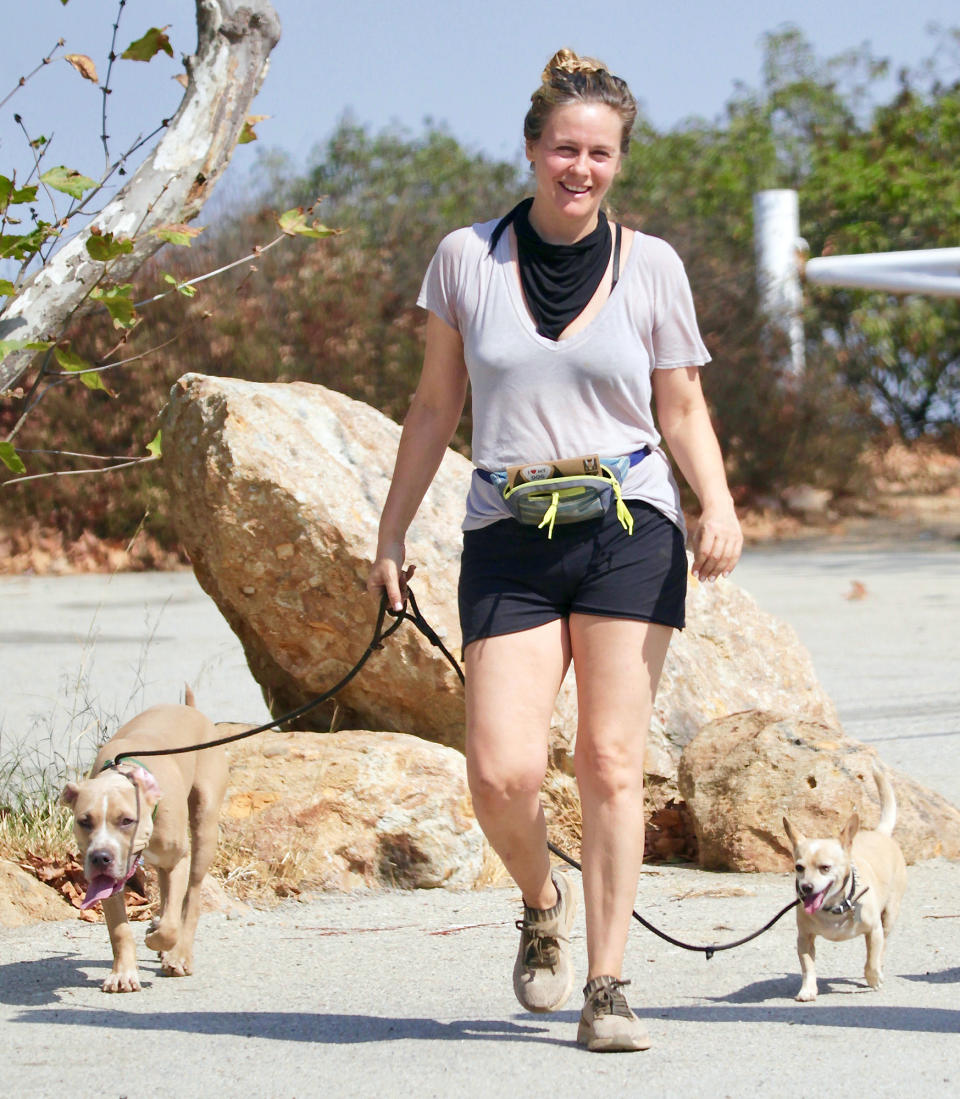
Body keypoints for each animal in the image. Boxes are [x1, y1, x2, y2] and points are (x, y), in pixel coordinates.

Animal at [60, 690, 228, 993]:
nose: (101, 857)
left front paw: (159, 939)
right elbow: (119, 930)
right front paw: (123, 974)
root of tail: (191, 710)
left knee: (191, 896)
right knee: (167, 893)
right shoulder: (107, 882)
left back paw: (178, 954)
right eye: (84, 821)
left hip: (204, 828)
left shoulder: (177, 860)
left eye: (127, 820)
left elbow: (172, 923)